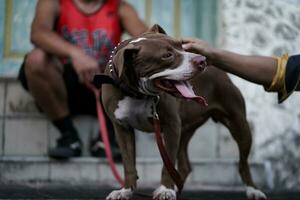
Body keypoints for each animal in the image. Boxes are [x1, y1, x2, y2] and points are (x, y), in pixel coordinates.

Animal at [101, 25, 268, 200]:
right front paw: (125, 190)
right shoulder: (122, 127)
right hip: (185, 131)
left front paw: (165, 190)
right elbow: (128, 163)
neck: (137, 93)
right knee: (185, 165)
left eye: (181, 45)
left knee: (243, 163)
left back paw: (253, 190)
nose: (202, 60)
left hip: (239, 125)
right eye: (167, 55)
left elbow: (167, 163)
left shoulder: (171, 126)